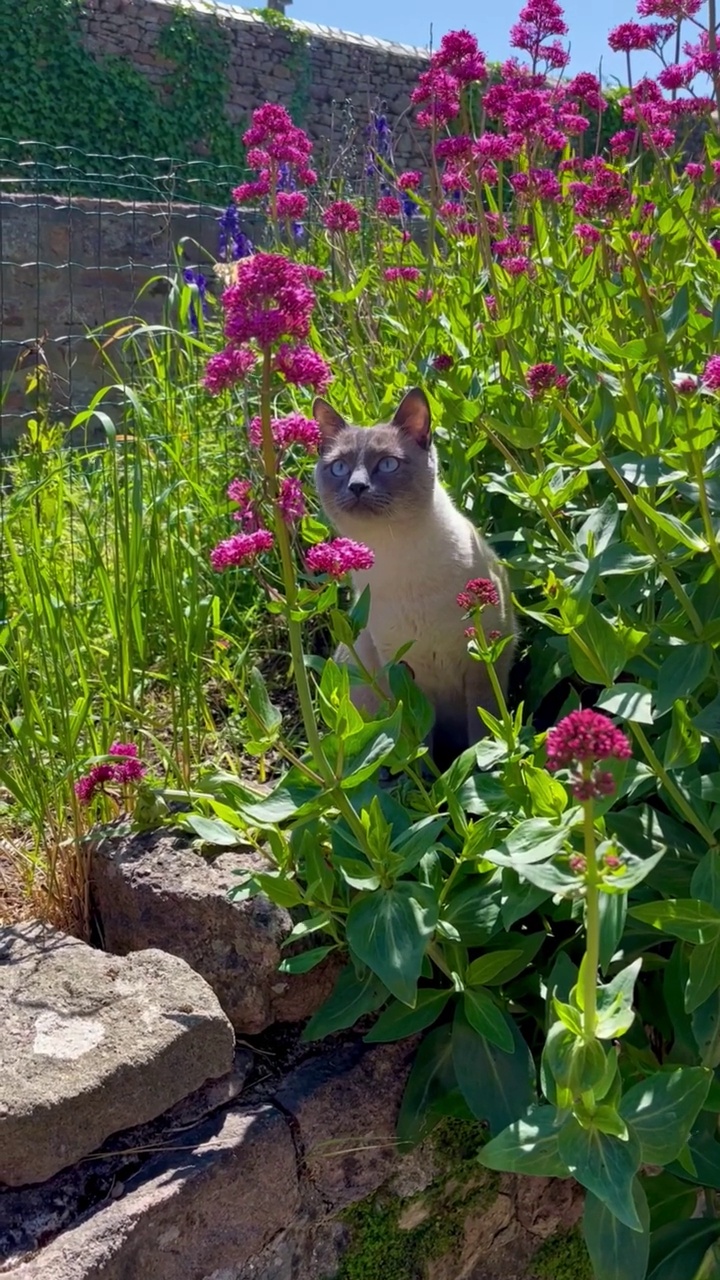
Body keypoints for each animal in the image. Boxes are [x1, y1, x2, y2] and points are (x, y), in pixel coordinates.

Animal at [311, 386, 512, 768]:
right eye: (339, 468)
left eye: (388, 464)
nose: (357, 486)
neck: (399, 556)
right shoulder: (404, 673)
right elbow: (420, 745)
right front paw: (432, 780)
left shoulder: (480, 666)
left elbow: (482, 732)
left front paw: (483, 770)